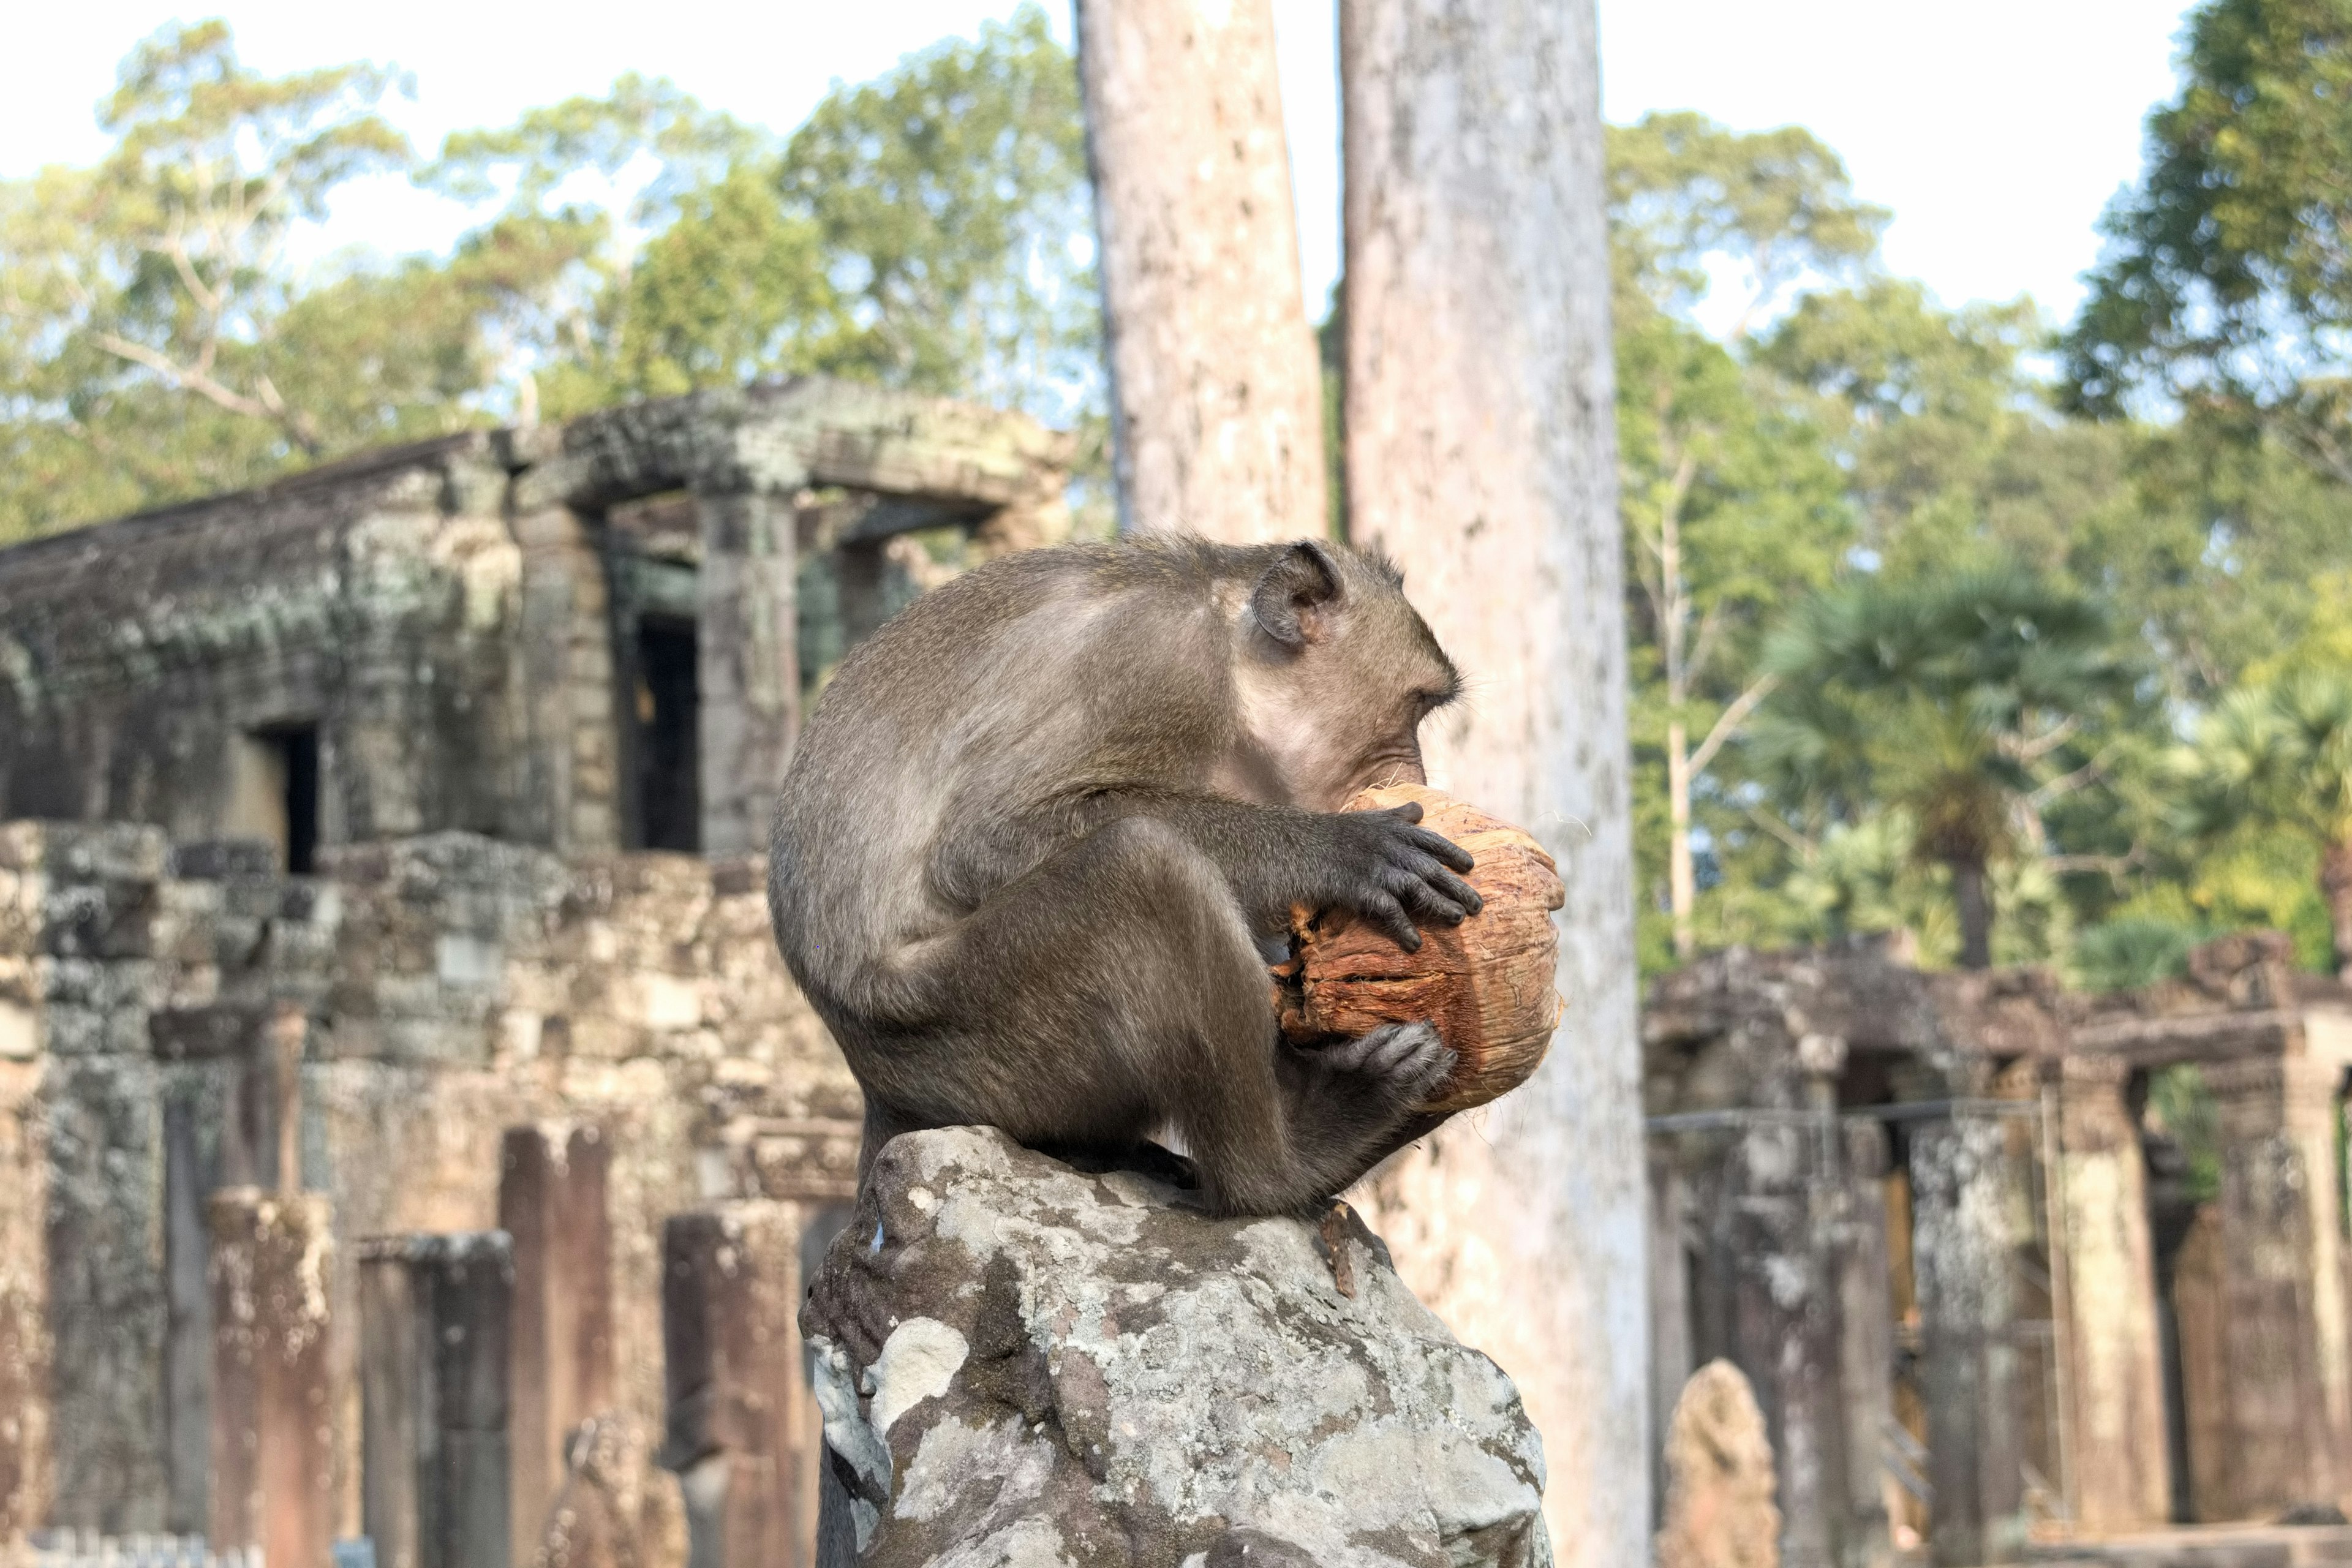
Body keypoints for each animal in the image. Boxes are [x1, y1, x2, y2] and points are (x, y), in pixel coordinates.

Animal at [762, 533, 1477, 1222]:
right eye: (1415, 706)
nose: (1419, 777)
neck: (1230, 659)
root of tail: (881, 1095)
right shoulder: (1151, 669)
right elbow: (980, 842)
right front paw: (1341, 850)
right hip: (967, 1042)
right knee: (1144, 867)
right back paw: (1287, 1164)